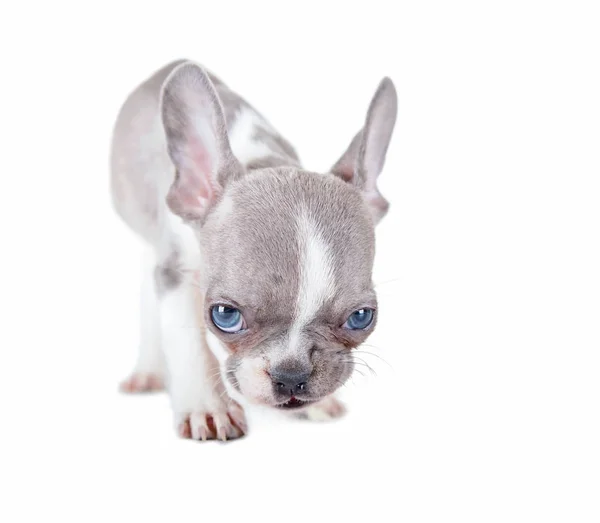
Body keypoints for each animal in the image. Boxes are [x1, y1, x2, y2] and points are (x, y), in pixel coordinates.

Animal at [110, 59, 396, 440]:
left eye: (361, 317)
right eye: (225, 315)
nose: (291, 375)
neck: (263, 161)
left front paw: (319, 405)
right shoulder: (177, 271)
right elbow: (189, 344)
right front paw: (209, 408)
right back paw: (148, 371)